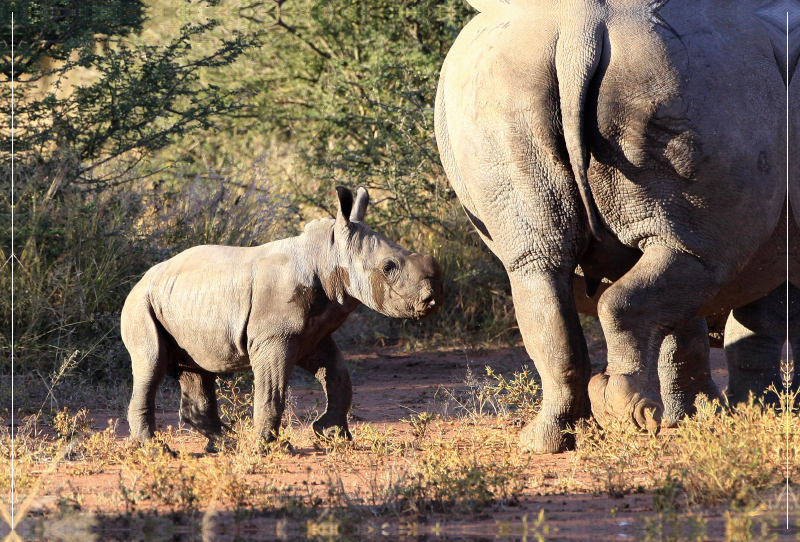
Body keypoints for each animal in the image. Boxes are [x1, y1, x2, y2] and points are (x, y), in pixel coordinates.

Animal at [438, 0, 792, 452]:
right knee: (693, 259)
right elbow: (755, 317)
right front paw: (742, 414)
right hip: (687, 80)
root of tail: (582, 30)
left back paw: (551, 439)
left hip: (500, 91)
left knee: (538, 268)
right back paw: (635, 415)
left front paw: (701, 416)